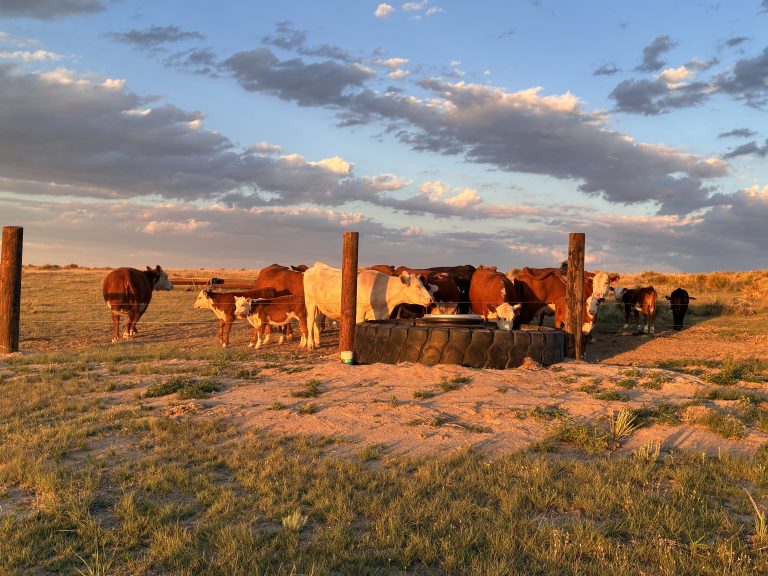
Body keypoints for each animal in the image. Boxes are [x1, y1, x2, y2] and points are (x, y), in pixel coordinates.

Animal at [303, 262, 434, 349]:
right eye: (417, 287)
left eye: (423, 284)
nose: (431, 299)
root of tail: (317, 266)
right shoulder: (360, 310)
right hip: (310, 302)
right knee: (310, 320)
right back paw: (310, 344)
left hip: (320, 305)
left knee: (317, 320)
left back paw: (317, 342)